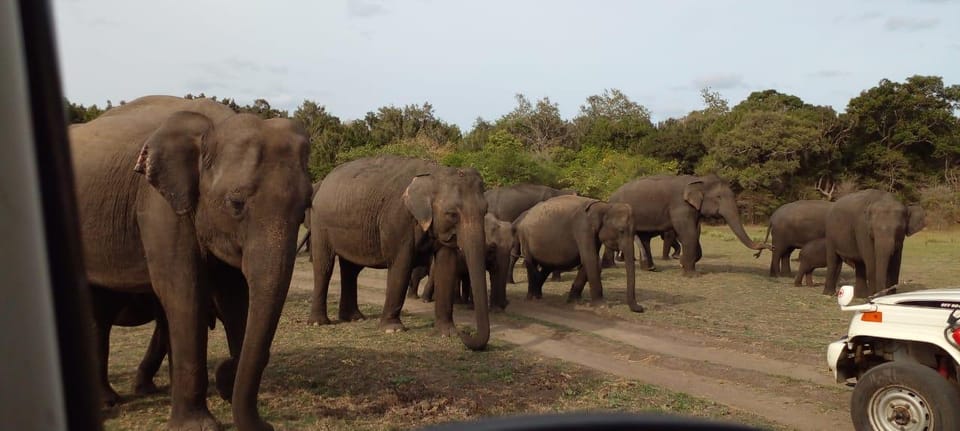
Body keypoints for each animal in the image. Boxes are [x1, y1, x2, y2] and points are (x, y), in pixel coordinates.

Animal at [71, 95, 312, 431]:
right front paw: (198, 425)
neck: (215, 126)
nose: (268, 427)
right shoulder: (158, 205)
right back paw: (107, 402)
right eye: (236, 203)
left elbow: (235, 297)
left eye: (306, 207)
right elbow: (185, 292)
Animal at [308, 155, 488, 352]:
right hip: (320, 223)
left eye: (485, 211)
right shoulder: (397, 220)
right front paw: (392, 330)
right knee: (324, 266)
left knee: (351, 269)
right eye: (452, 214)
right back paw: (318, 323)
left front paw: (448, 333)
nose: (466, 333)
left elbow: (446, 266)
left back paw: (355, 318)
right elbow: (401, 265)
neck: (434, 173)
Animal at [512, 197, 640, 314]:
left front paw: (573, 301)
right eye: (621, 230)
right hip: (525, 239)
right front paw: (602, 307)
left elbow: (589, 260)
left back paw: (538, 296)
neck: (604, 206)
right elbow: (590, 259)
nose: (641, 308)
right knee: (531, 262)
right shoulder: (583, 228)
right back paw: (531, 298)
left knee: (547, 266)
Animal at [608, 174, 772, 276]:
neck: (698, 179)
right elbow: (689, 233)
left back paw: (651, 269)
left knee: (645, 238)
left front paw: (682, 263)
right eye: (719, 197)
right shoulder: (680, 206)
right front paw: (692, 274)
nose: (758, 254)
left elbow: (694, 234)